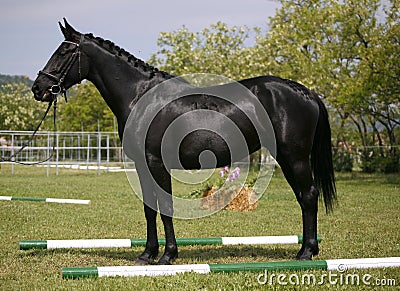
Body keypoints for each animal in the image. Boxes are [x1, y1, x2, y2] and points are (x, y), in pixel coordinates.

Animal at [32, 19, 336, 266]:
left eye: (64, 52)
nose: (38, 88)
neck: (141, 97)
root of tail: (305, 92)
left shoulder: (156, 163)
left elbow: (166, 207)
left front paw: (168, 255)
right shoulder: (142, 165)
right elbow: (150, 208)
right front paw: (147, 254)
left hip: (294, 157)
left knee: (309, 195)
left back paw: (306, 253)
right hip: (286, 158)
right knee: (303, 197)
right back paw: (308, 249)